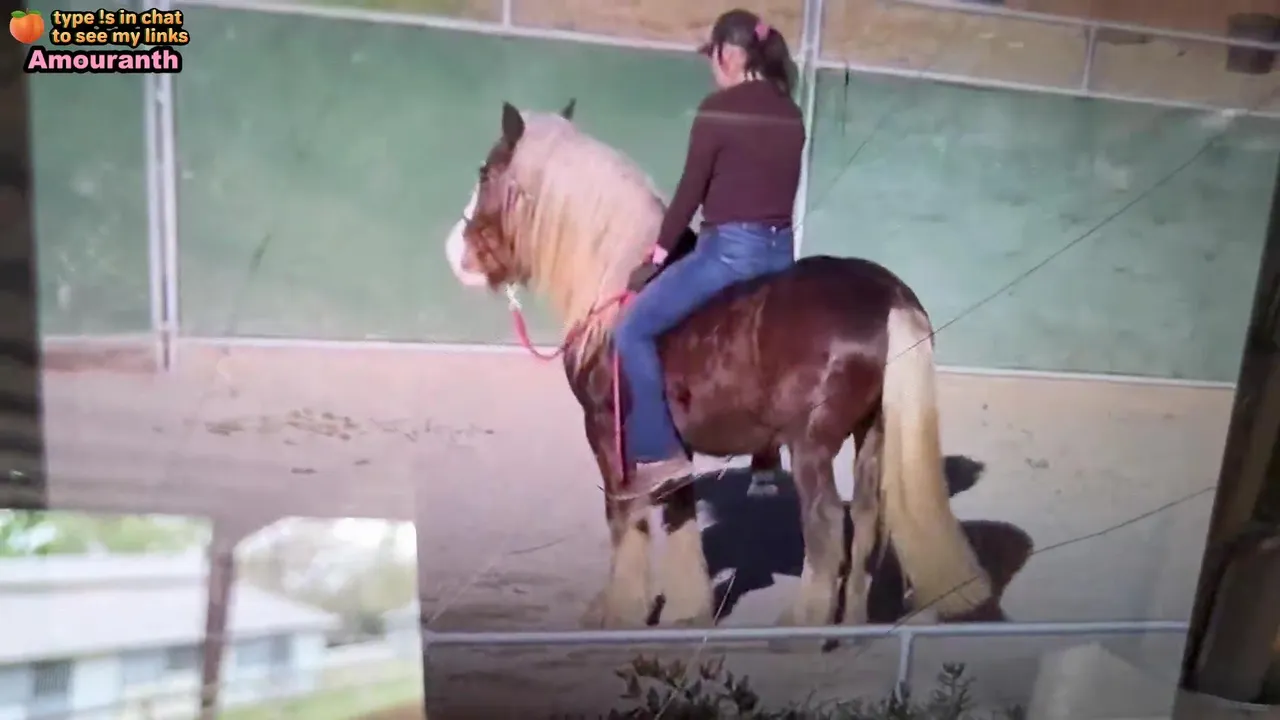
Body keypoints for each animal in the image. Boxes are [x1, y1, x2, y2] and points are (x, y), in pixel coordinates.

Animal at [442, 100, 993, 630]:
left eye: (486, 173)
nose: (455, 252)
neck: (617, 288)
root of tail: (886, 295)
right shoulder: (668, 445)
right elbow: (679, 517)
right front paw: (687, 611)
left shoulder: (605, 432)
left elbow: (624, 520)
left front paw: (619, 610)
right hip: (871, 433)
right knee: (865, 524)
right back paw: (849, 625)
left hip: (811, 443)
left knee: (827, 528)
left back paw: (801, 627)